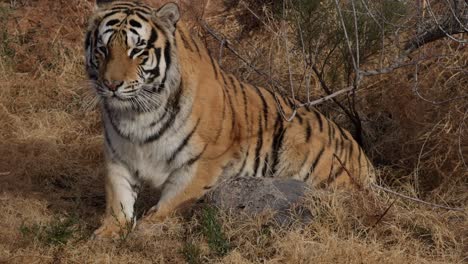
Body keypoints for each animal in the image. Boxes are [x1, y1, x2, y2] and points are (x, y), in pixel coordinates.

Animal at [86, 0, 374, 239]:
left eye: (137, 50)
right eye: (103, 49)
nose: (111, 85)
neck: (138, 114)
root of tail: (364, 158)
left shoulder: (201, 163)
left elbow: (170, 204)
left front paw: (148, 229)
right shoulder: (118, 157)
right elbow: (118, 198)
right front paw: (108, 232)